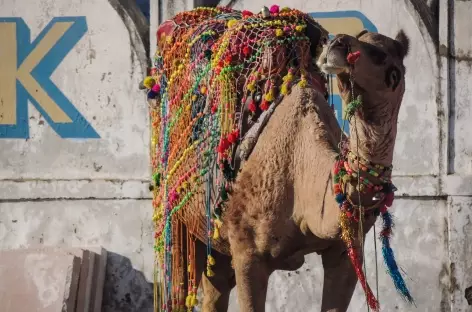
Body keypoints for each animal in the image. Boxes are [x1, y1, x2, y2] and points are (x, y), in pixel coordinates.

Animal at [146, 5, 412, 312]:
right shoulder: (248, 252)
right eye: (359, 38)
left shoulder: (345, 250)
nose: (338, 42)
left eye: (380, 54)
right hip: (177, 223)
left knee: (215, 289)